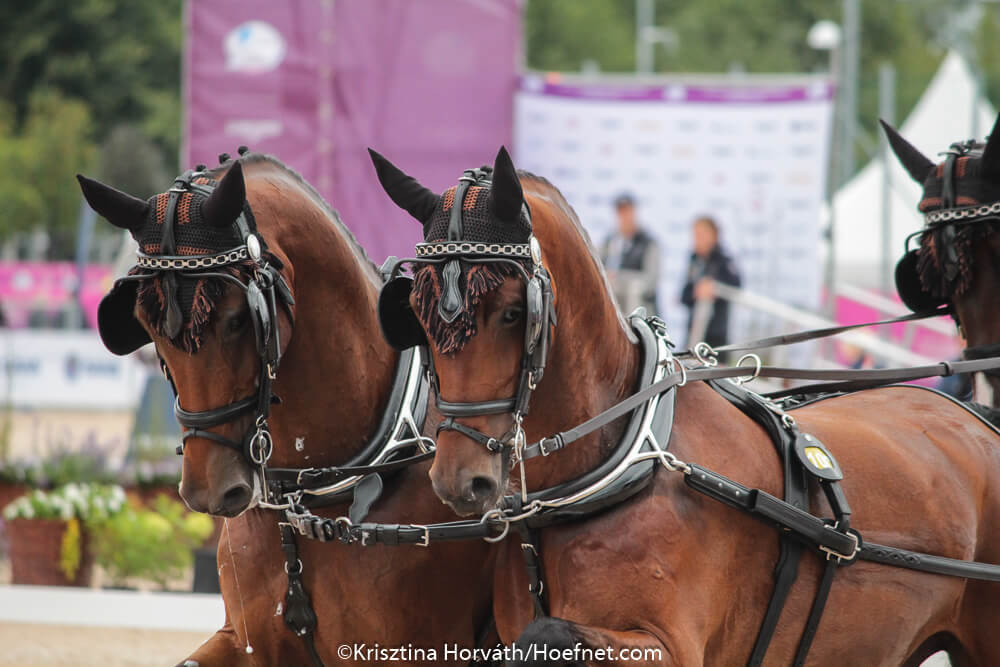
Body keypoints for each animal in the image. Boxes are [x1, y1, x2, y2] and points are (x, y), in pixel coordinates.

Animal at [371, 146, 1000, 665]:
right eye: (418, 317)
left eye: (510, 311)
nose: (460, 480)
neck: (618, 465)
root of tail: (976, 419)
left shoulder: (667, 646)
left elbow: (544, 637)